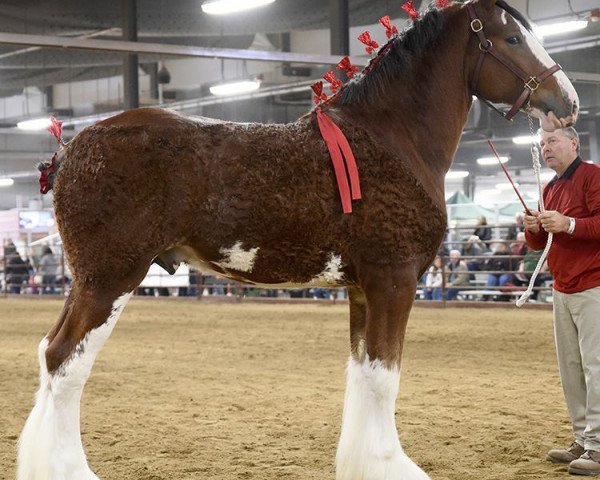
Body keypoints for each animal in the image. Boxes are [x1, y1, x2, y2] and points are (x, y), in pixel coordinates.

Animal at [17, 0, 576, 480]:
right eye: (511, 38)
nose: (567, 101)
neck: (394, 137)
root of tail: (73, 148)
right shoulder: (394, 281)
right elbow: (385, 376)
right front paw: (390, 465)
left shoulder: (362, 289)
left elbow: (362, 373)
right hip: (110, 278)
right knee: (65, 361)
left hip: (88, 281)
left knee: (49, 354)